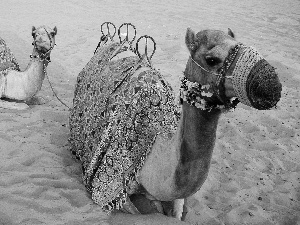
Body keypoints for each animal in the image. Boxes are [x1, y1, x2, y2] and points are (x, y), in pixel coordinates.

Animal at [68, 25, 282, 225]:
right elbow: (145, 210)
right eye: (211, 59)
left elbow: (177, 212)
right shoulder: (113, 190)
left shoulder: (176, 196)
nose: (270, 83)